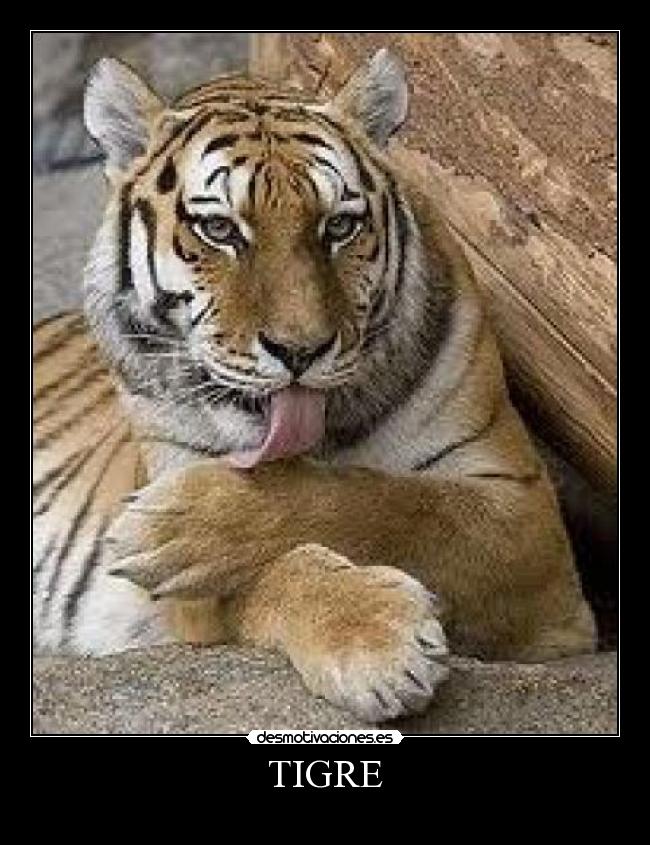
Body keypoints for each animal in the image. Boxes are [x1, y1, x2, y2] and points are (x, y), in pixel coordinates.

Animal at [32, 48, 596, 724]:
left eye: (340, 226)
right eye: (220, 230)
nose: (299, 350)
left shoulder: (524, 513)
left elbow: (386, 502)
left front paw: (173, 523)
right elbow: (273, 572)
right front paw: (376, 638)